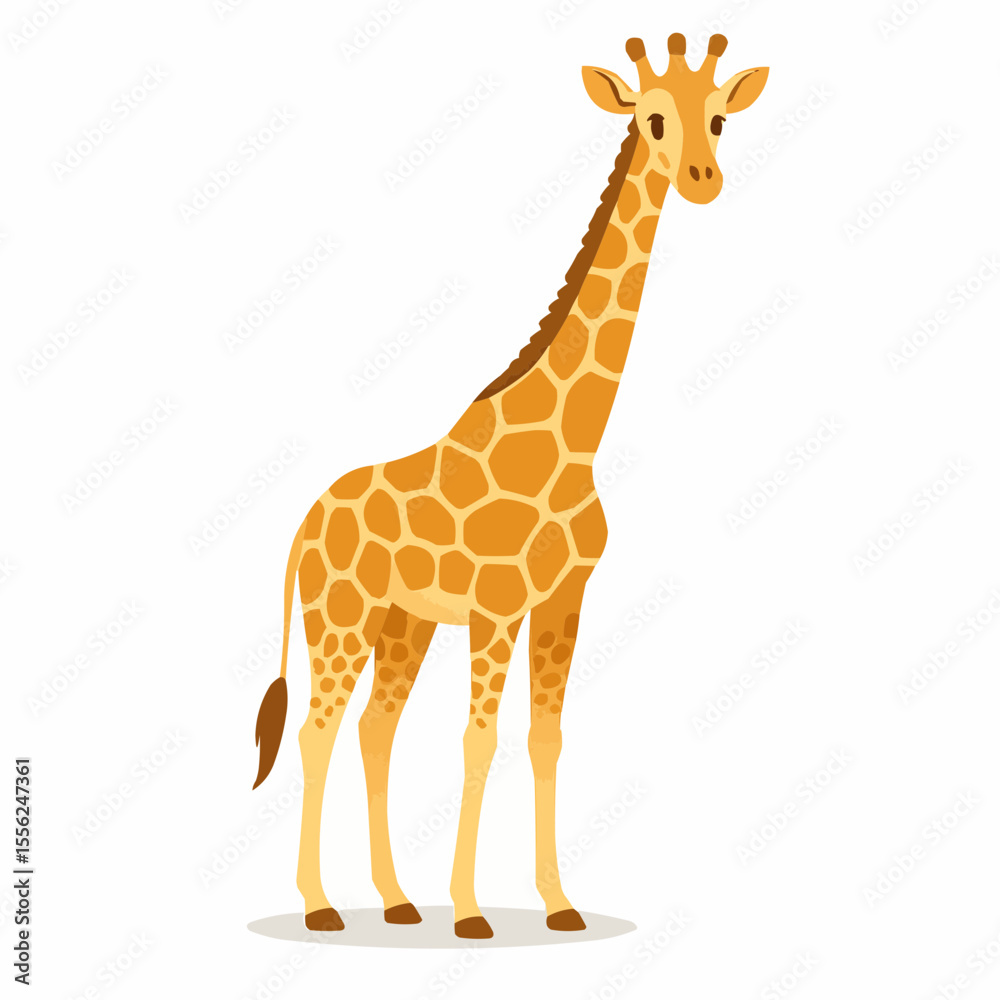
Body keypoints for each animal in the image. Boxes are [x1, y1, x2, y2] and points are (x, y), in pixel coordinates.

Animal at [252, 32, 768, 939]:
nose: (703, 179)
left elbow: (543, 738)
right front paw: (470, 913)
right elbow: (479, 739)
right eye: (652, 117)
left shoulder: (564, 600)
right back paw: (321, 906)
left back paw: (395, 900)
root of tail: (304, 524)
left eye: (717, 118)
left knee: (375, 728)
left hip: (405, 623)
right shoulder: (496, 606)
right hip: (340, 616)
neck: (572, 441)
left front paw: (557, 904)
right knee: (320, 729)